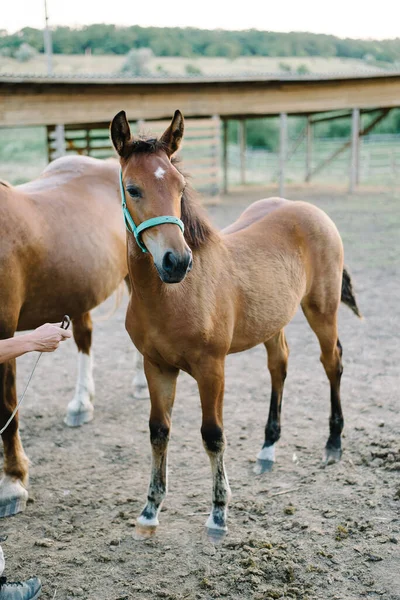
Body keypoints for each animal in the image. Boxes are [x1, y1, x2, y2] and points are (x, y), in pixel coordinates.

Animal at [0, 157, 147, 516]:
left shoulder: (5, 329)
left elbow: (7, 408)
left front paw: (12, 483)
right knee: (85, 337)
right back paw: (82, 402)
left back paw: (139, 385)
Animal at [111, 110, 360, 536]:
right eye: (132, 188)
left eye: (179, 186)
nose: (177, 262)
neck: (171, 296)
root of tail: (308, 209)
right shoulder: (155, 366)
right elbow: (159, 431)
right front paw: (150, 509)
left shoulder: (212, 368)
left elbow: (212, 435)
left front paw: (218, 512)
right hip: (273, 320)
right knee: (279, 365)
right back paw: (268, 449)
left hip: (322, 309)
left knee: (332, 362)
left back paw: (333, 445)